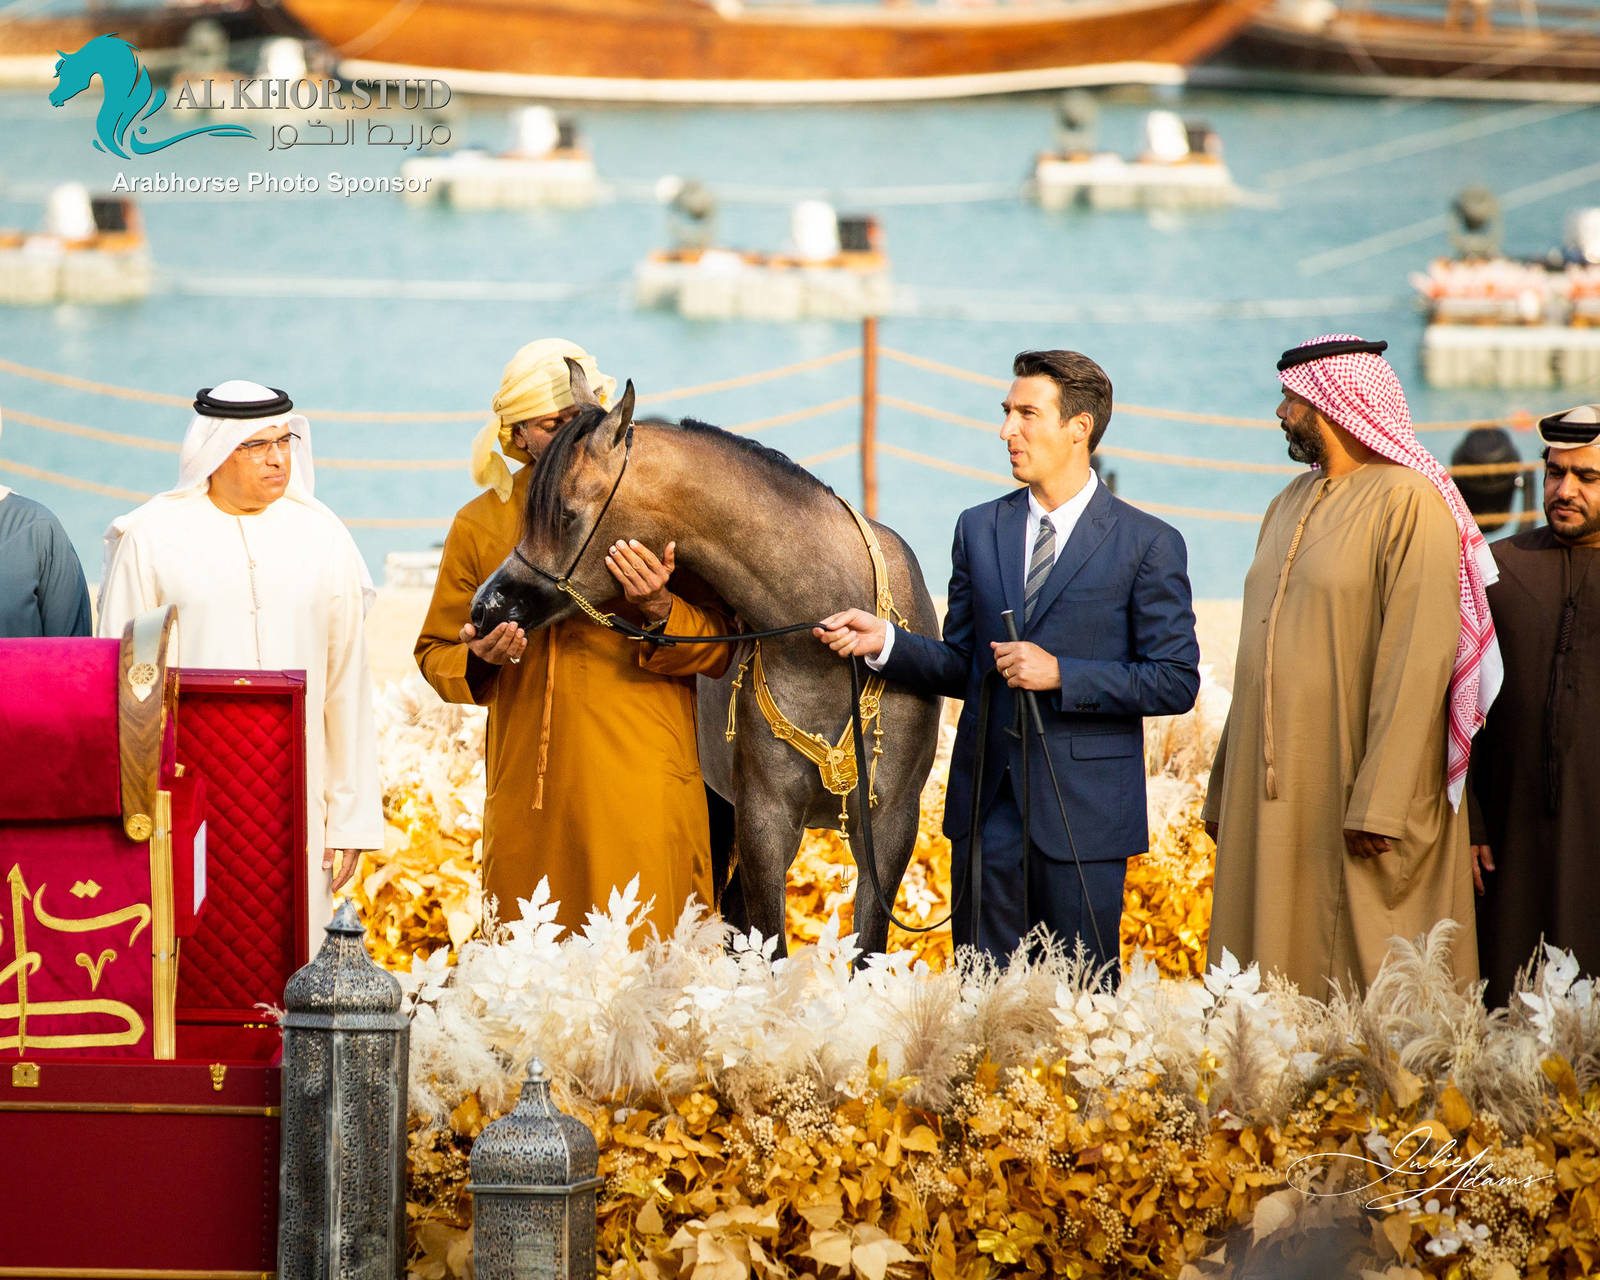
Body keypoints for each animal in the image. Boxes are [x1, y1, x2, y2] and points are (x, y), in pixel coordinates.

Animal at [471, 362, 943, 958]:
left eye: (563, 513)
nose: (485, 607)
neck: (827, 650)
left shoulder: (891, 826)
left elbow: (866, 952)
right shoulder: (763, 820)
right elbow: (769, 948)